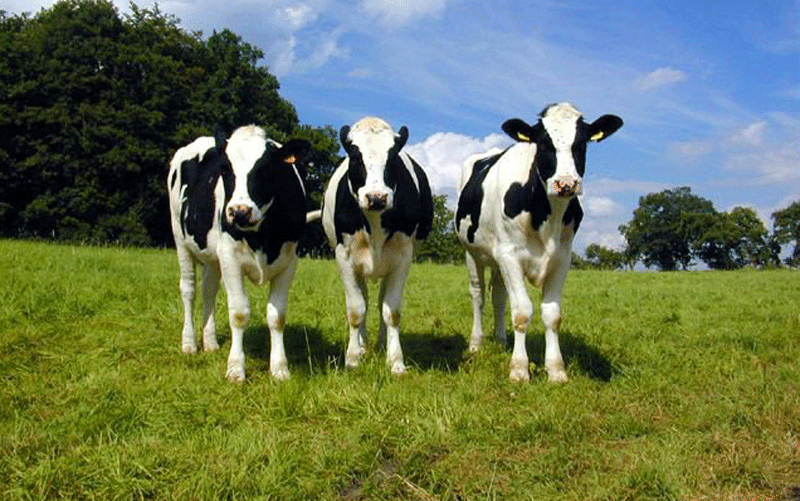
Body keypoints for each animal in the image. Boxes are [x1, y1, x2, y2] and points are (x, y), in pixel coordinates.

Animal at [167, 125, 311, 382]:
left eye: (266, 168)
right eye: (225, 169)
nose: (239, 211)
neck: (262, 236)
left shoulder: (289, 261)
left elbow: (277, 316)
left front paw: (279, 368)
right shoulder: (230, 258)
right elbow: (239, 313)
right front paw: (235, 369)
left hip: (213, 257)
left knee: (208, 289)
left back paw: (210, 341)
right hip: (180, 238)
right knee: (189, 289)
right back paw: (189, 343)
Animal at [321, 117, 433, 375]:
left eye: (392, 158)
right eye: (355, 156)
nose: (376, 197)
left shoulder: (403, 257)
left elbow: (391, 311)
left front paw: (396, 361)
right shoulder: (344, 257)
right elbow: (356, 309)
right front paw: (353, 358)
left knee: (381, 300)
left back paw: (382, 344)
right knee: (362, 298)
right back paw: (363, 346)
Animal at [455, 102, 623, 383]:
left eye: (582, 144)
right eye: (543, 144)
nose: (566, 183)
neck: (547, 218)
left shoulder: (562, 258)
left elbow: (552, 315)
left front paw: (556, 369)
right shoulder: (510, 256)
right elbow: (522, 311)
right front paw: (519, 369)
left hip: (497, 258)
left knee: (499, 296)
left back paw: (501, 340)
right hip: (473, 253)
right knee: (478, 295)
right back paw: (476, 343)